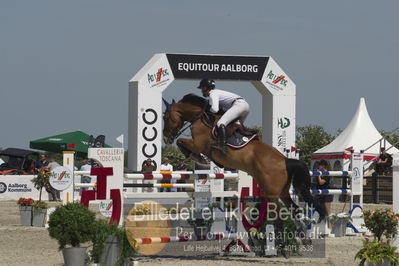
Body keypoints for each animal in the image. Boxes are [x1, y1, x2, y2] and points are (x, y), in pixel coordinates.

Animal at [162, 93, 324, 247]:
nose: (165, 139)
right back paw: (303, 239)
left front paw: (197, 158)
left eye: (165, 117)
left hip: (271, 193)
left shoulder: (198, 145)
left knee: (279, 216)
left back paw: (281, 245)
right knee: (294, 209)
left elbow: (181, 142)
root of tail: (285, 160)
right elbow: (182, 143)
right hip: (282, 192)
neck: (200, 118)